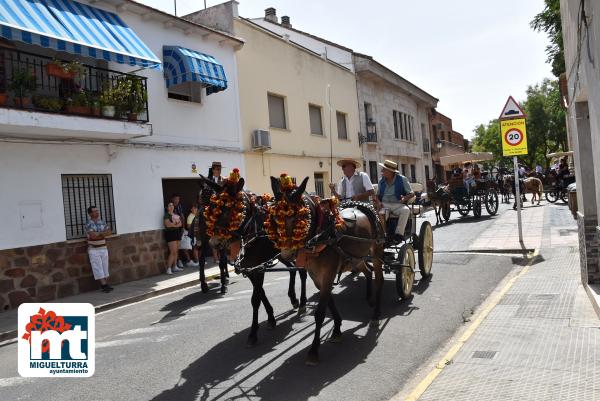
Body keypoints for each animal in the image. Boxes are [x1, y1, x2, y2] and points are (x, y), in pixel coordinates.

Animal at [199, 175, 308, 346]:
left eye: (232, 209)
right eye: (213, 206)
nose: (214, 242)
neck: (252, 231)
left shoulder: (258, 268)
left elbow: (256, 298)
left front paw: (253, 333)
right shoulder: (251, 269)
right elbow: (260, 293)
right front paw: (271, 318)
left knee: (302, 271)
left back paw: (302, 303)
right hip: (282, 254)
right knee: (292, 270)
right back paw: (294, 299)